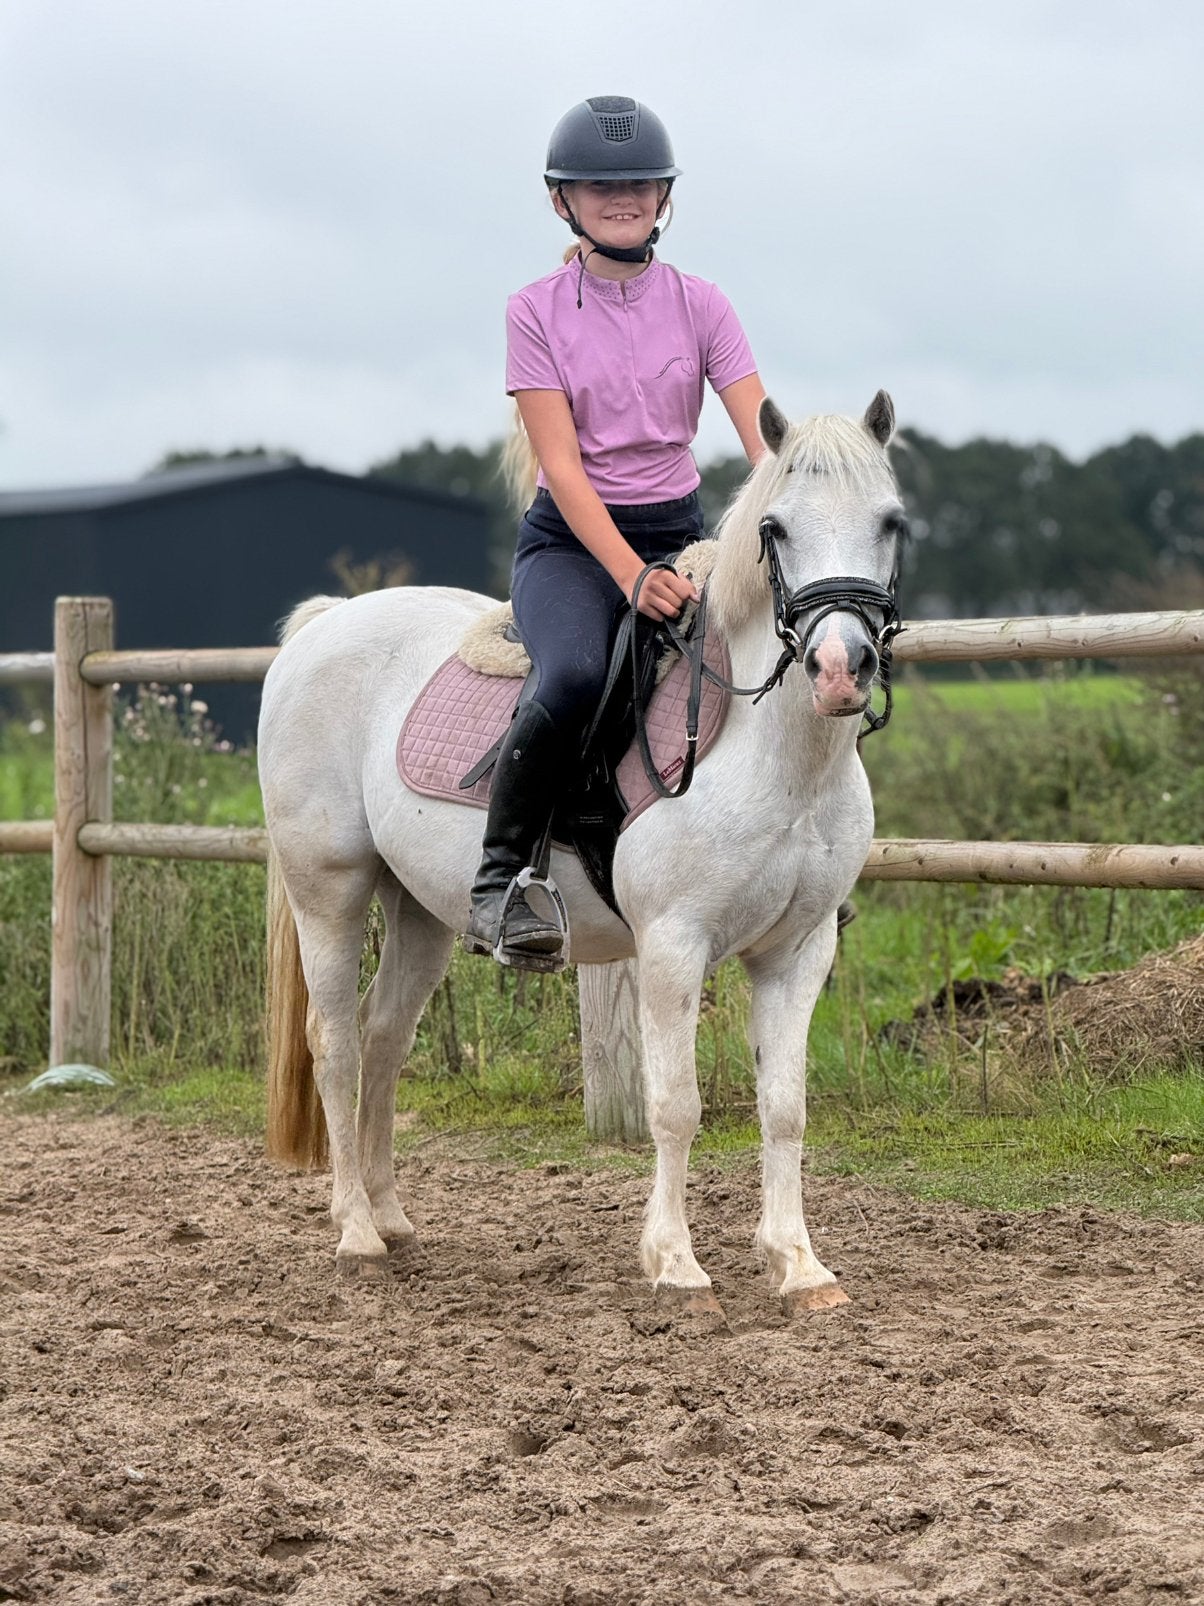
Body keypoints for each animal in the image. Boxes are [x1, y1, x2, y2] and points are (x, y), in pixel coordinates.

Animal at [259, 391, 906, 1317]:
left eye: (891, 522)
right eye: (775, 528)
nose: (839, 666)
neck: (776, 756)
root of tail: (324, 624)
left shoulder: (797, 951)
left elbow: (785, 1108)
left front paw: (799, 1266)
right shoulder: (674, 946)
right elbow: (676, 1105)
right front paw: (675, 1264)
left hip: (419, 908)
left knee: (384, 1037)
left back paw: (391, 1219)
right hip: (329, 892)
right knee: (336, 1042)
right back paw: (355, 1235)